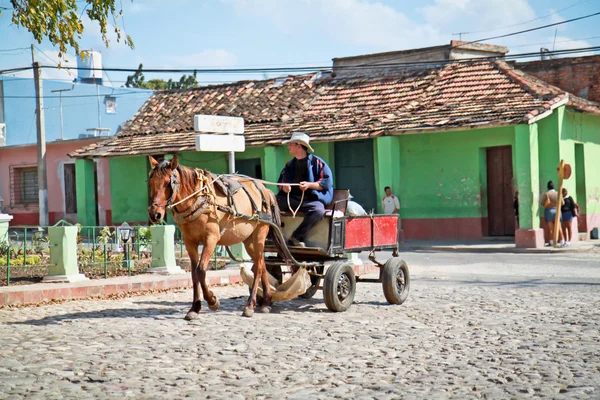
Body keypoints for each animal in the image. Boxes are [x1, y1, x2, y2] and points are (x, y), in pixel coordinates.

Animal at [148, 155, 284, 318]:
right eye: (150, 182)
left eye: (169, 183)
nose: (155, 214)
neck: (198, 199)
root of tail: (264, 189)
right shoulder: (189, 241)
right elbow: (194, 274)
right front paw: (195, 307)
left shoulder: (211, 239)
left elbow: (201, 270)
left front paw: (212, 301)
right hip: (248, 240)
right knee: (262, 264)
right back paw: (266, 301)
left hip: (259, 234)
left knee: (257, 268)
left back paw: (250, 305)